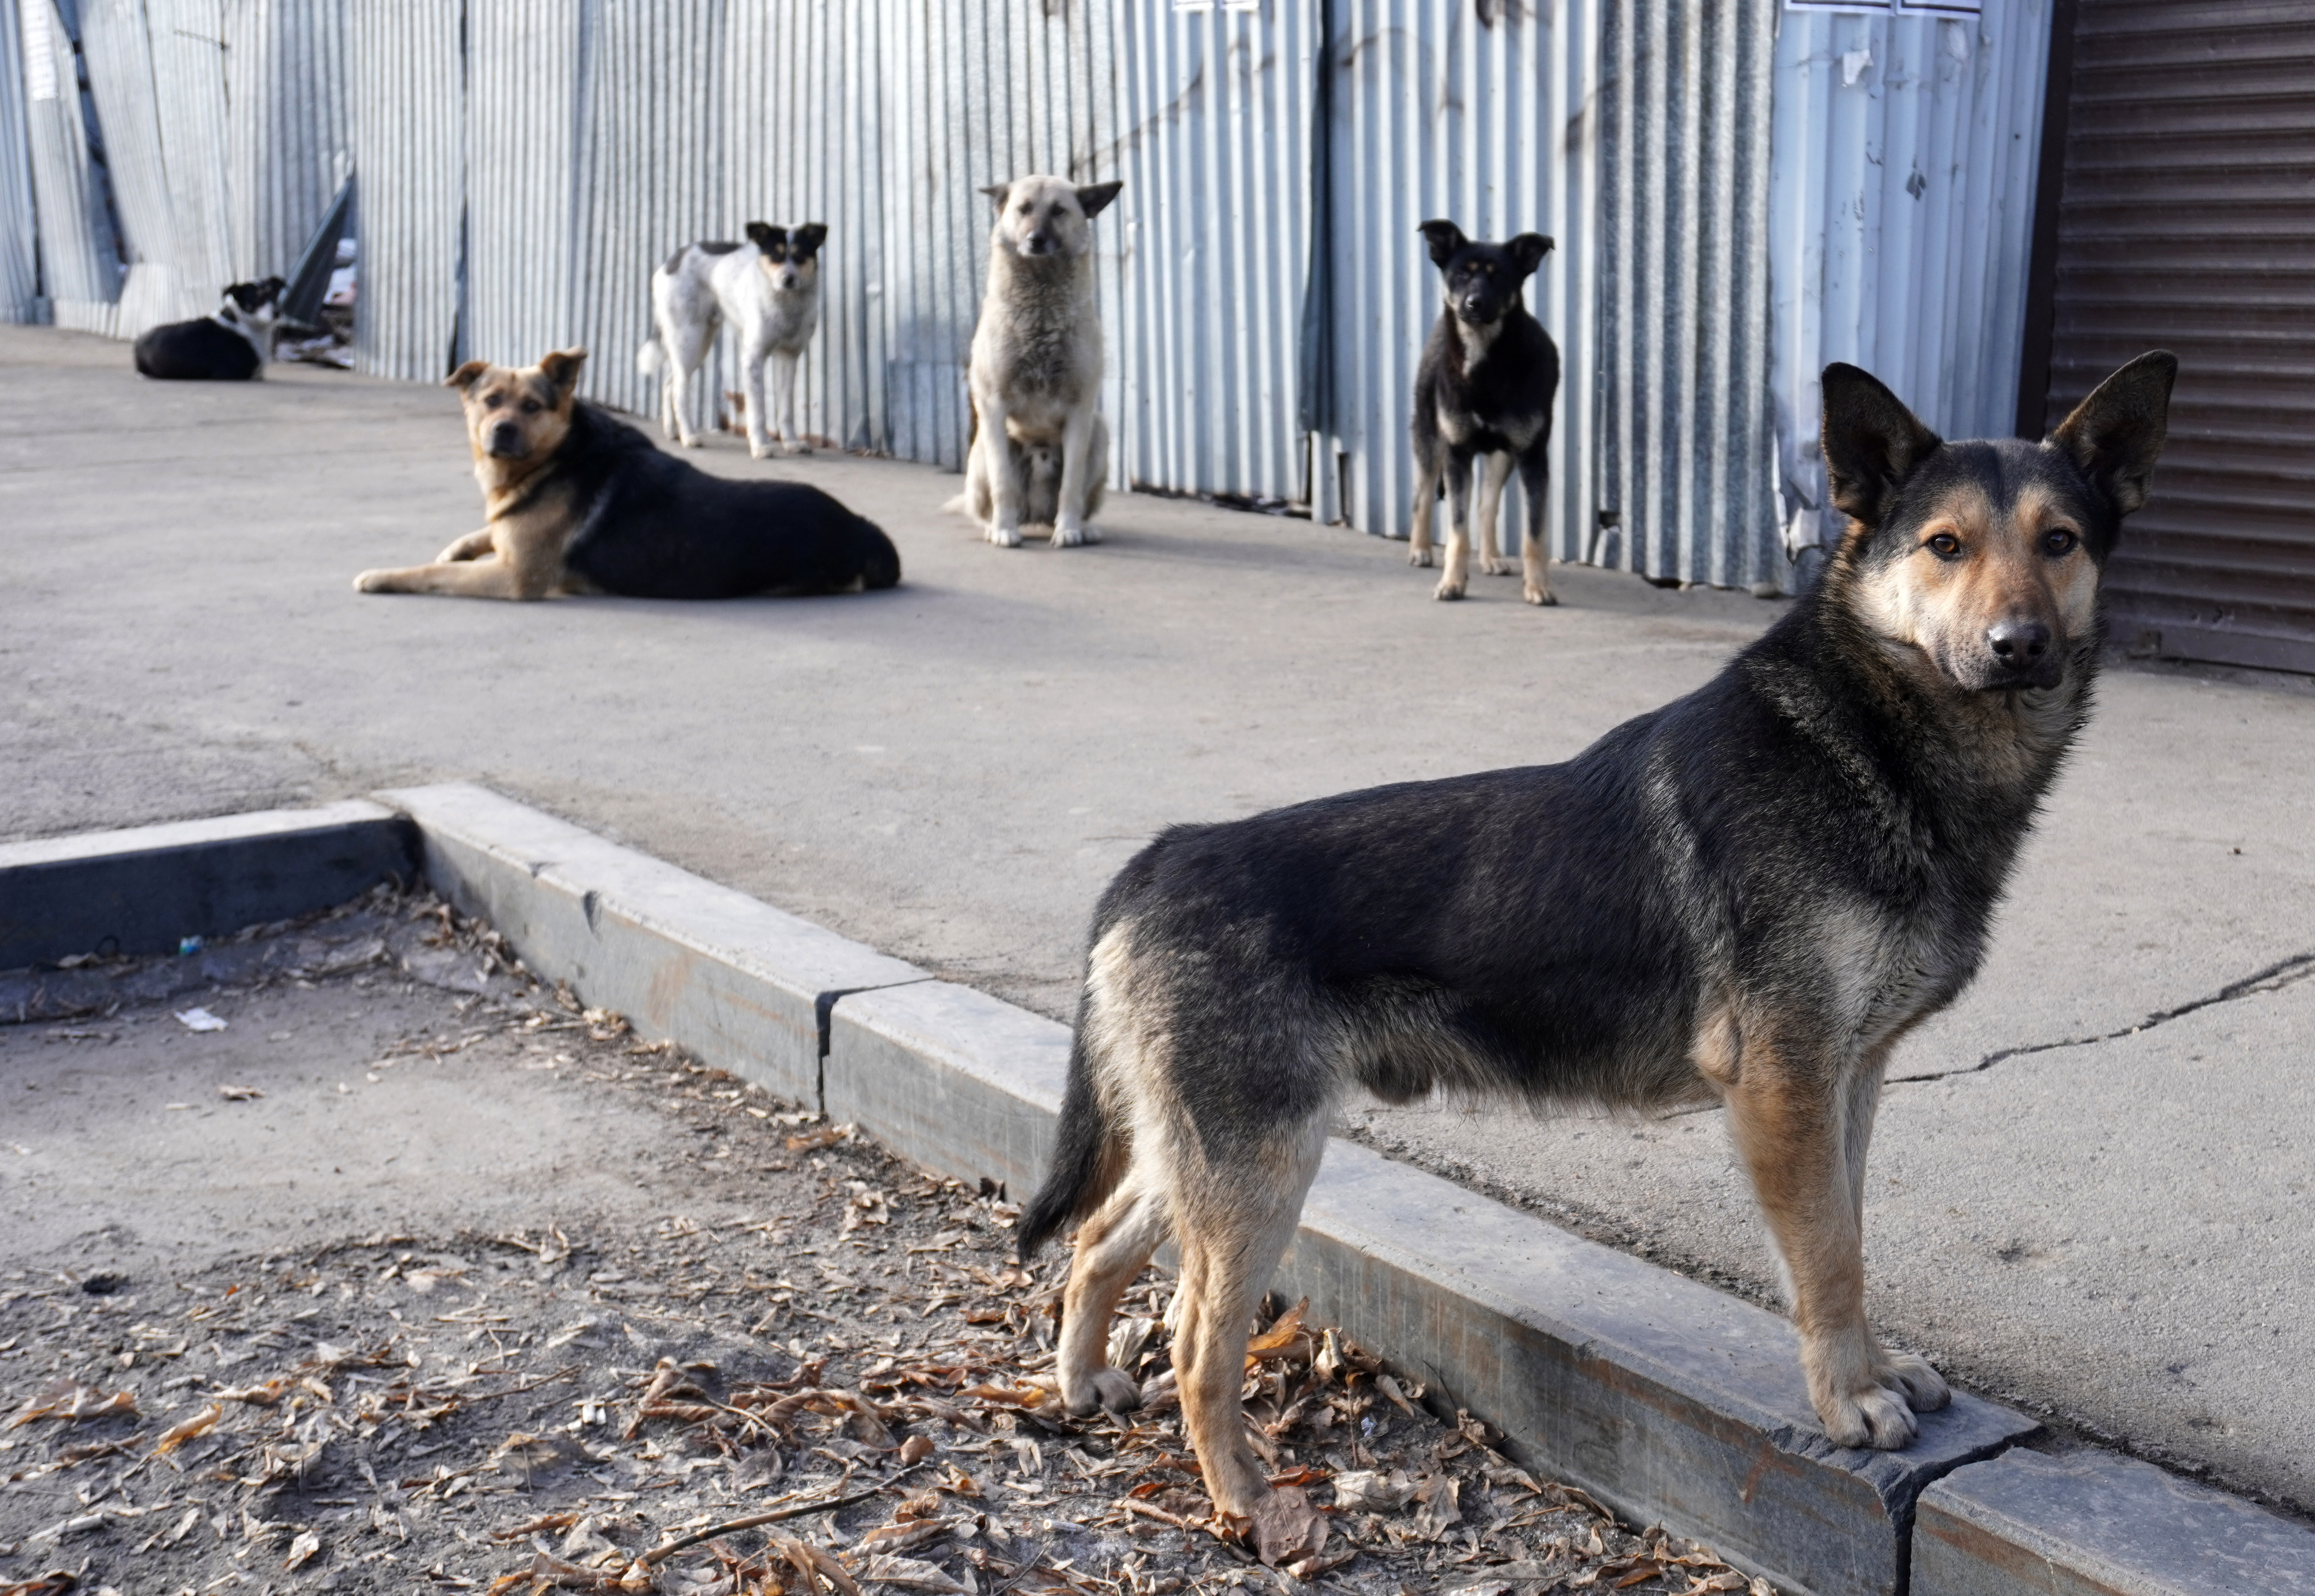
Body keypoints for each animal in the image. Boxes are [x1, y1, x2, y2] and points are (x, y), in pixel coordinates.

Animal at [352, 345, 893, 601]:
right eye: (490, 400)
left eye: (531, 407)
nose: (501, 430)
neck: (559, 455)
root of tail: (861, 528)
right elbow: (482, 532)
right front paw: (458, 545)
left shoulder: (515, 577)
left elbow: (430, 574)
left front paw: (381, 575)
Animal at [644, 221, 833, 453]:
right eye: (775, 255)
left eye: (800, 255)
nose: (788, 280)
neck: (786, 303)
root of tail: (671, 262)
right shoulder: (753, 360)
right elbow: (758, 411)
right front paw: (760, 446)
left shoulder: (788, 357)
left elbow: (786, 409)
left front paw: (792, 443)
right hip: (688, 340)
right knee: (679, 391)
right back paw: (689, 436)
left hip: (698, 345)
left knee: (670, 383)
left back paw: (672, 431)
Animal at [1023, 347, 2176, 1545]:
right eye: (1944, 546)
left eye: (2060, 541)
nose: (2018, 647)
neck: (1866, 741)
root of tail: (1159, 857)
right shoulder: (1784, 1089)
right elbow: (1825, 1255)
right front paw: (1846, 1399)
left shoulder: (1846, 1082)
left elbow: (1851, 1239)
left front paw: (1870, 1369)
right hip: (1261, 1170)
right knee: (1198, 1341)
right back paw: (1248, 1503)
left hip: (1208, 1159)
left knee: (1097, 1238)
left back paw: (1082, 1381)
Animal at [1398, 217, 1565, 601]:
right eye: (1462, 273)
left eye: (1499, 276)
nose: (1474, 304)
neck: (1486, 363)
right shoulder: (1457, 452)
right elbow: (1458, 532)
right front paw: (1452, 583)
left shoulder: (1533, 457)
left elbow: (1534, 535)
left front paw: (1538, 587)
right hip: (1429, 436)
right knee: (1422, 494)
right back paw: (1420, 549)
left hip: (1503, 456)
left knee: (1487, 506)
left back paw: (1491, 557)